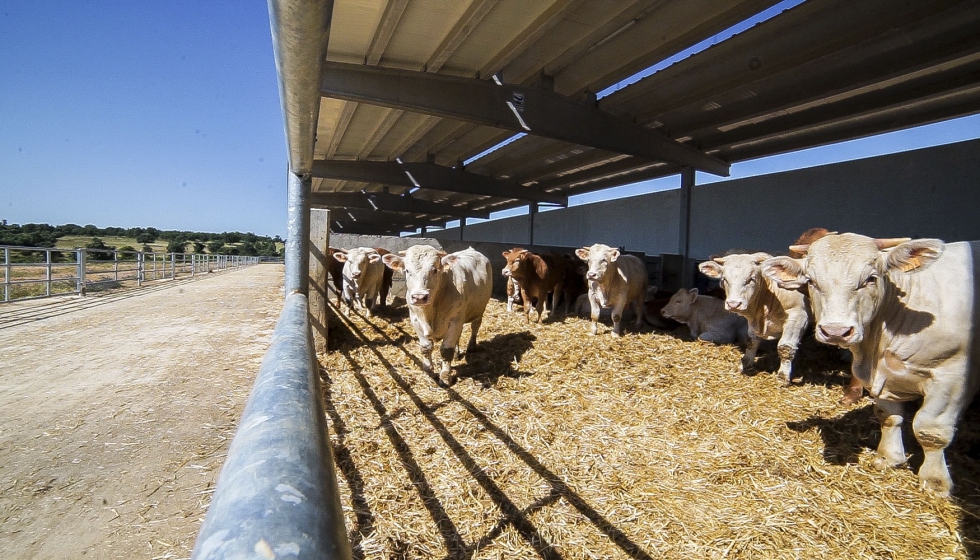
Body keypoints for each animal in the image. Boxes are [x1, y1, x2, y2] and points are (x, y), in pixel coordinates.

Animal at [380, 245, 490, 384]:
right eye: (407, 270)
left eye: (434, 270)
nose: (419, 297)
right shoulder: (415, 320)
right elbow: (426, 347)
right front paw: (428, 369)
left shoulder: (455, 321)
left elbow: (446, 350)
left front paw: (445, 376)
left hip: (479, 310)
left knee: (475, 327)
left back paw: (471, 346)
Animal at [704, 254, 812, 384]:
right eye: (724, 279)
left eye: (751, 279)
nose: (734, 304)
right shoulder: (753, 322)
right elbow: (751, 342)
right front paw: (746, 365)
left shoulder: (798, 317)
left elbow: (785, 347)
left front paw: (783, 376)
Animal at [764, 234, 980, 496]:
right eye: (812, 281)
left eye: (870, 279)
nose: (835, 331)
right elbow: (888, 416)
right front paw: (888, 457)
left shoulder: (951, 376)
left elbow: (930, 429)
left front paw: (935, 482)